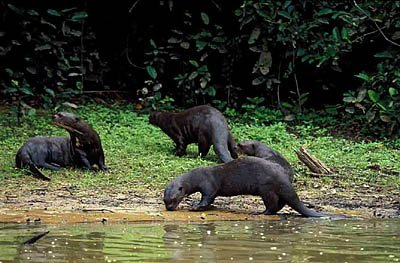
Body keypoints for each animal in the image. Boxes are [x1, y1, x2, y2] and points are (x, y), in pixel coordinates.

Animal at [162, 157, 344, 219]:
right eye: (164, 200)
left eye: (173, 199)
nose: (169, 208)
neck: (197, 177)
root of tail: (283, 178)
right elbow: (211, 200)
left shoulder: (208, 184)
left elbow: (207, 197)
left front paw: (195, 207)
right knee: (281, 203)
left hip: (266, 188)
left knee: (272, 205)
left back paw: (260, 212)